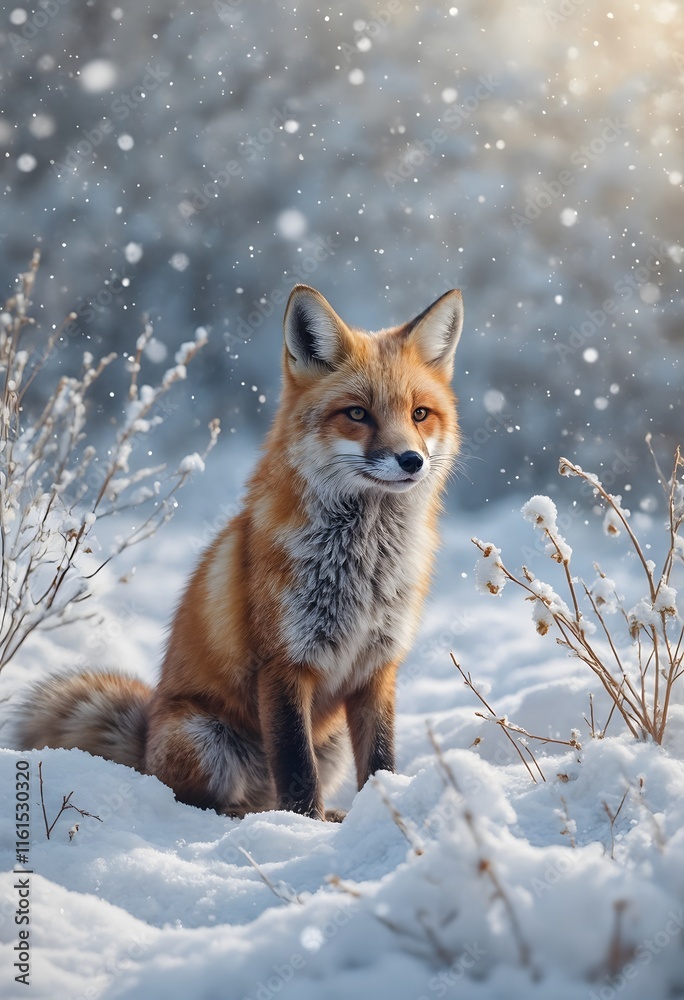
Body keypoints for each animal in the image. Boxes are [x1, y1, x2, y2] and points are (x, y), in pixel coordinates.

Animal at [15, 283, 463, 820]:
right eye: (357, 413)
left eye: (420, 414)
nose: (412, 460)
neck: (365, 565)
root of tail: (145, 741)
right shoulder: (283, 664)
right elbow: (296, 767)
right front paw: (302, 829)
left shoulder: (377, 668)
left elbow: (380, 760)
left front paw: (376, 816)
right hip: (207, 739)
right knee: (198, 799)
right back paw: (248, 816)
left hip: (329, 742)